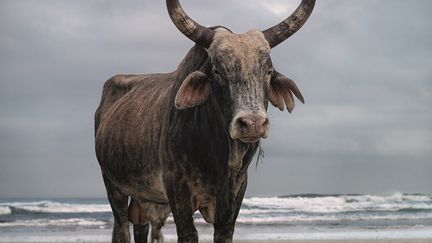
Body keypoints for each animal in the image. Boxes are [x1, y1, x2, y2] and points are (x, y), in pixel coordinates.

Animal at [96, 0, 316, 242]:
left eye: (268, 71)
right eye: (218, 70)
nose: (252, 124)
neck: (218, 157)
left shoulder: (236, 192)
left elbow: (224, 231)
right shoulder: (176, 186)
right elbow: (188, 233)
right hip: (113, 185)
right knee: (121, 227)